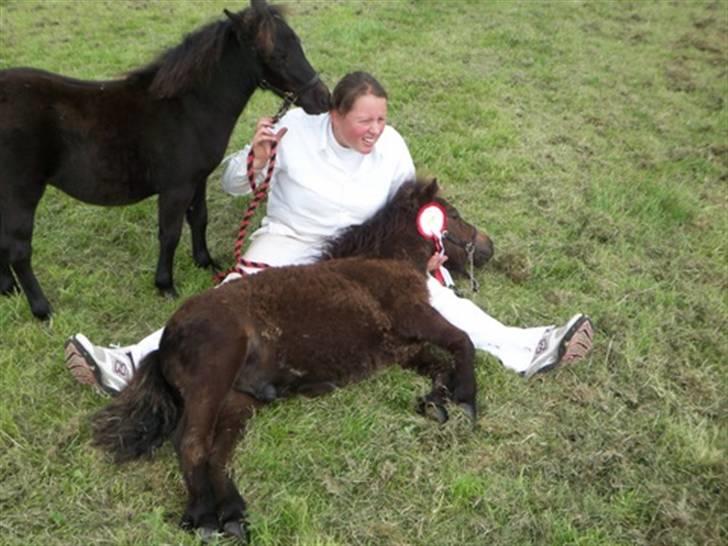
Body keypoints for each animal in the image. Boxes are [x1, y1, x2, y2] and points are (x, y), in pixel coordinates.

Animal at [0, 0, 330, 316]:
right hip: (22, 193)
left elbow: (199, 219)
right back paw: (42, 309)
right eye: (276, 55)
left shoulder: (198, 180)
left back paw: (8, 290)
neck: (188, 109)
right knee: (19, 249)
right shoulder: (176, 187)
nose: (323, 99)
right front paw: (165, 285)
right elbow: (170, 233)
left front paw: (205, 262)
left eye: (297, 42)